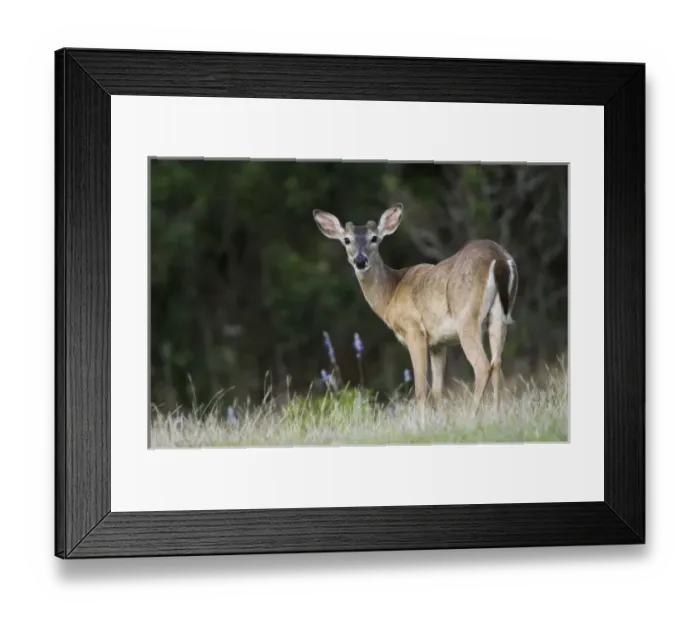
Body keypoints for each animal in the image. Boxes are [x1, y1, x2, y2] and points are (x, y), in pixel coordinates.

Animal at [312, 203, 518, 416]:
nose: (360, 261)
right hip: (499, 315)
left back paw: (471, 415)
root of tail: (499, 258)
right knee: (497, 363)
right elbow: (437, 390)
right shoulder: (438, 343)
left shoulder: (414, 330)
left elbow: (420, 389)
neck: (391, 293)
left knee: (483, 365)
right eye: (347, 240)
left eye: (374, 238)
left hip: (466, 316)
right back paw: (497, 413)